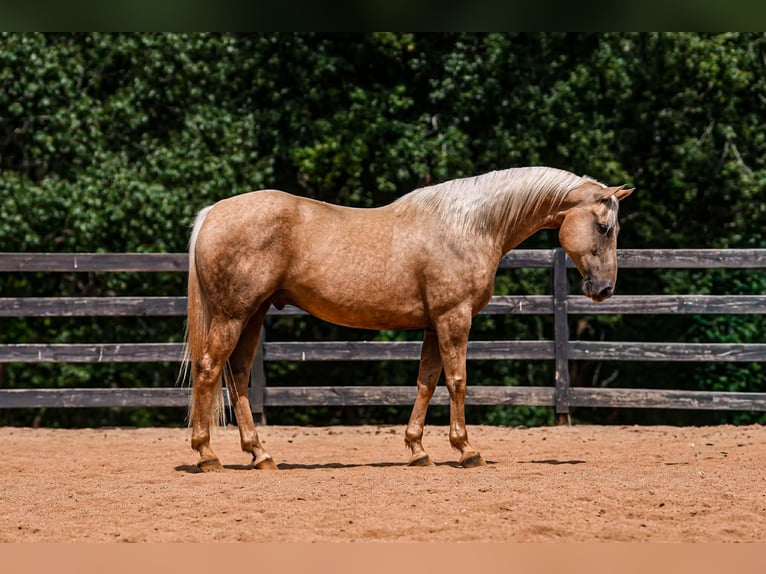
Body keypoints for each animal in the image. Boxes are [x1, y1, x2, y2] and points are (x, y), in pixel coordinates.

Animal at [183, 166, 633, 471]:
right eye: (604, 227)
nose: (604, 289)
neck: (468, 226)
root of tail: (213, 212)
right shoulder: (454, 318)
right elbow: (457, 381)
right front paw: (467, 450)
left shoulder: (435, 324)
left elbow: (426, 382)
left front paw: (418, 450)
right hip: (234, 314)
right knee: (209, 369)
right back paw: (207, 455)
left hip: (253, 314)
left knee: (237, 376)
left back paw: (260, 454)